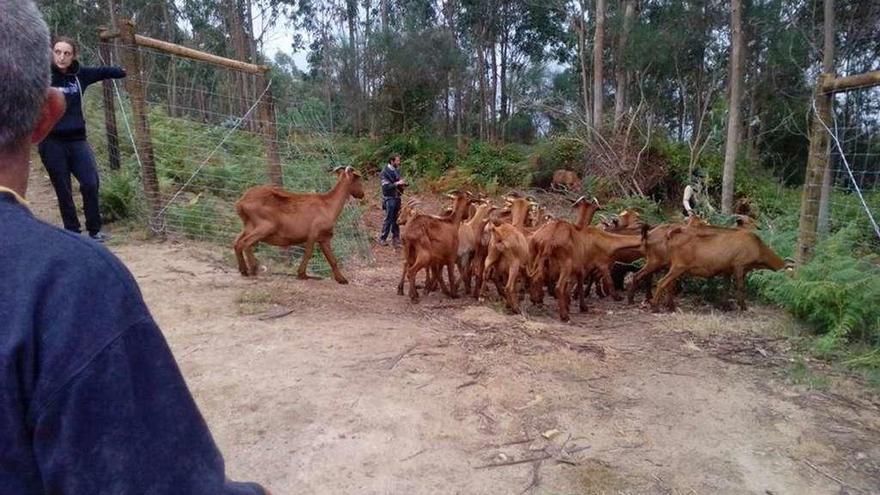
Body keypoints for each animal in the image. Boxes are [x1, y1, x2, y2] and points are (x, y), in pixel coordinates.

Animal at [234, 167, 364, 282]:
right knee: (246, 242)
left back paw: (244, 270)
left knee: (236, 243)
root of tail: (241, 202)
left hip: (248, 226)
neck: (328, 205)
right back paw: (254, 268)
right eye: (359, 180)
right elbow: (308, 253)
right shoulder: (313, 233)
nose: (362, 194)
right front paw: (302, 274)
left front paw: (341, 279)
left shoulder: (324, 238)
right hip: (265, 226)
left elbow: (332, 259)